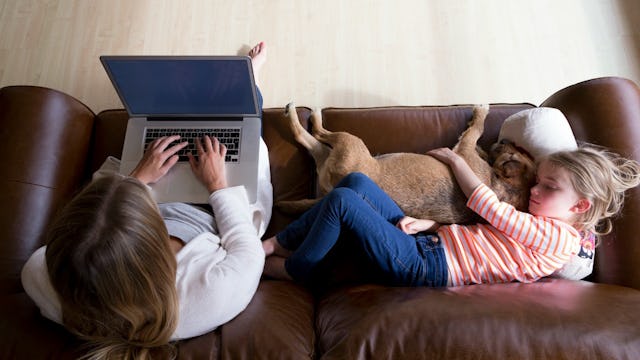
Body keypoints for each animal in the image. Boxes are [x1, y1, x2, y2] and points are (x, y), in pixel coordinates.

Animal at [278, 102, 536, 224]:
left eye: (518, 151)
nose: (504, 140)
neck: (500, 186)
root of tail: (334, 188)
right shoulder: (467, 150)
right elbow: (475, 135)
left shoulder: (463, 151)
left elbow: (476, 130)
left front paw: (479, 114)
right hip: (333, 152)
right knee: (310, 137)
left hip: (349, 143)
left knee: (313, 133)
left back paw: (304, 113)